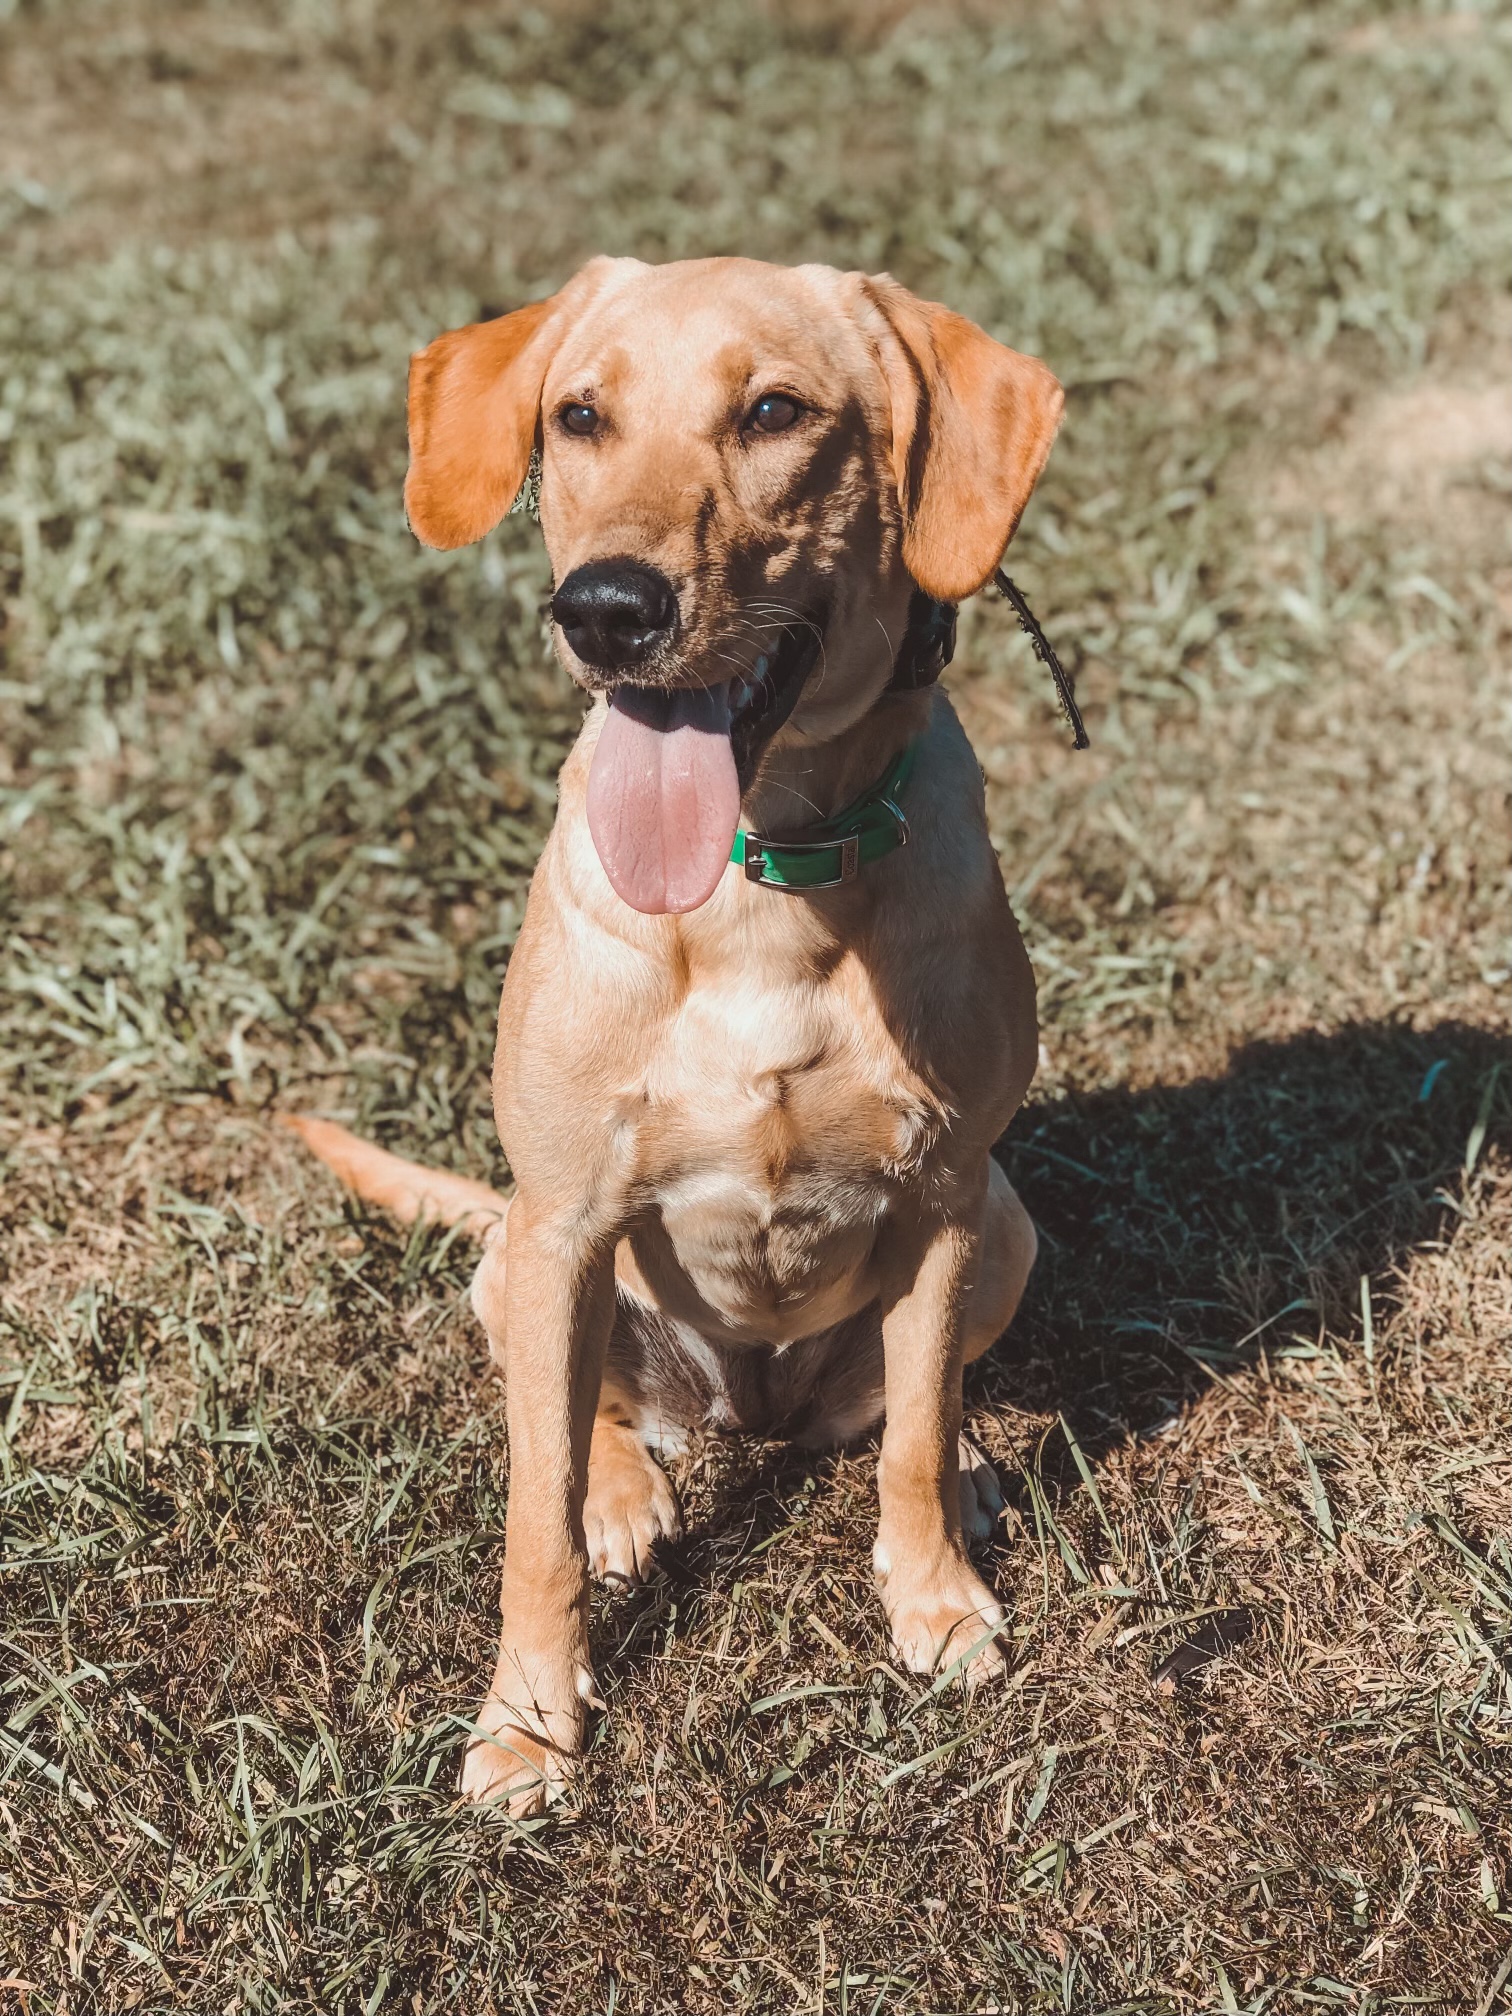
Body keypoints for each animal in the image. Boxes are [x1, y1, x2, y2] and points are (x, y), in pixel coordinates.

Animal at [286, 252, 1064, 1814]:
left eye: (774, 413)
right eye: (579, 415)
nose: (606, 607)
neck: (763, 877)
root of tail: (741, 1413)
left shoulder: (950, 1198)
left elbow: (910, 1434)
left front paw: (933, 1595)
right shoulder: (568, 1216)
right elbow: (531, 1515)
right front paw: (528, 1720)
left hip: (1008, 1227)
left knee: (904, 1403)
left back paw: (962, 1470)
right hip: (513, 1256)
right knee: (577, 1418)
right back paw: (629, 1494)